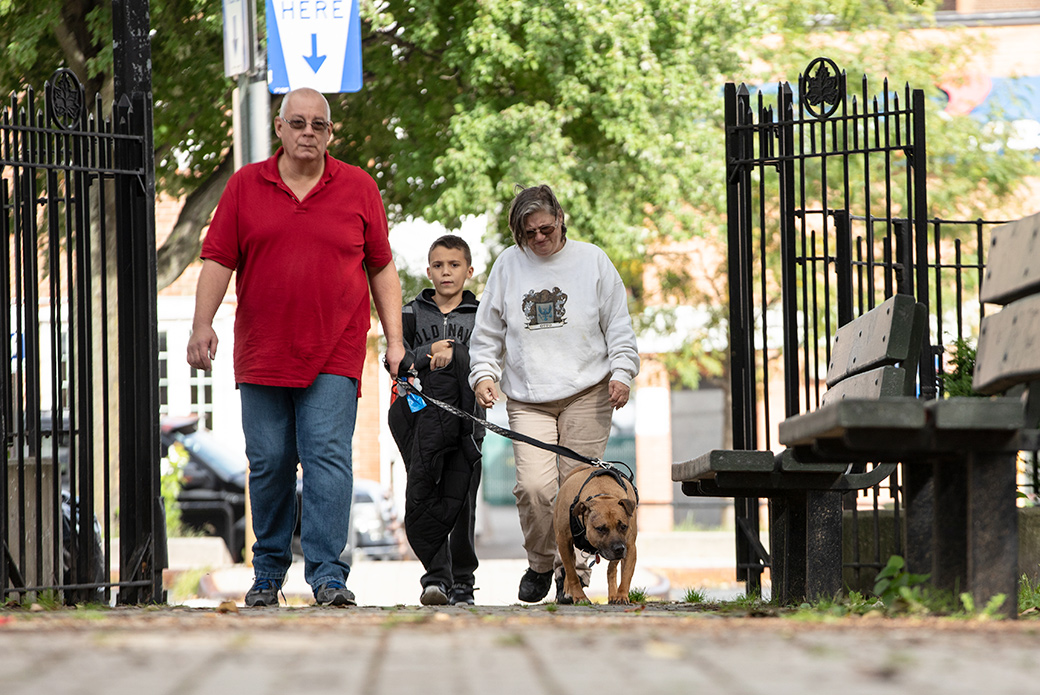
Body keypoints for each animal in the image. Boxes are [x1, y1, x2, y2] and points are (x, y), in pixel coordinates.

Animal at [557, 464, 636, 603]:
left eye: (623, 526)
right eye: (600, 529)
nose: (619, 548)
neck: (603, 494)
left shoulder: (630, 546)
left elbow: (626, 574)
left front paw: (621, 595)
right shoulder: (563, 541)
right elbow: (571, 573)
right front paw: (579, 596)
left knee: (611, 569)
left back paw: (613, 595)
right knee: (570, 564)